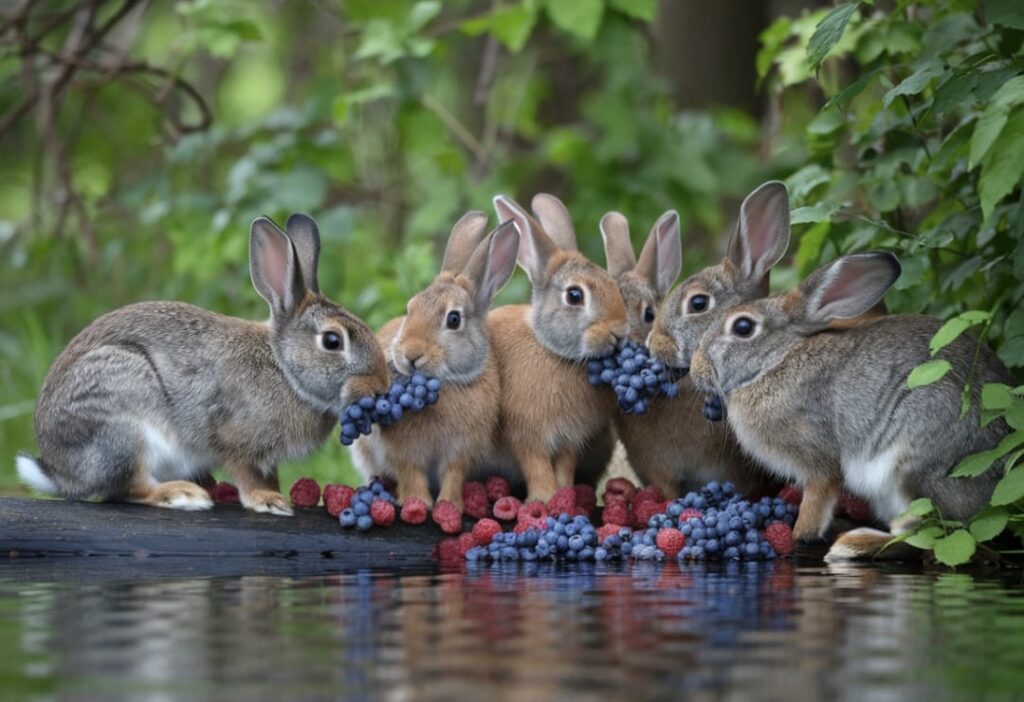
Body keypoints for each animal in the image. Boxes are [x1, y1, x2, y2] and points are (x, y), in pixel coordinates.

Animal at [16, 214, 391, 517]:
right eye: (333, 341)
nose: (380, 387)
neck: (285, 370)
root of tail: (59, 471)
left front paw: (274, 493)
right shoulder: (235, 439)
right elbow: (245, 473)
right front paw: (268, 501)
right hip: (122, 421)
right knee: (129, 488)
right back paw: (183, 494)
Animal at [350, 215, 520, 511]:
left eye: (453, 319)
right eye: (410, 309)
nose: (411, 353)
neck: (449, 386)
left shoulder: (459, 452)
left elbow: (452, 475)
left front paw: (450, 506)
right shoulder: (405, 452)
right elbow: (411, 474)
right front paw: (417, 504)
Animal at [485, 192, 626, 501]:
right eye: (574, 295)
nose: (619, 332)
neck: (554, 352)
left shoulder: (569, 440)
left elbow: (564, 467)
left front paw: (564, 495)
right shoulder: (526, 434)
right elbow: (536, 466)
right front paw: (544, 498)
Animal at [684, 252, 1011, 560]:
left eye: (743, 327)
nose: (695, 368)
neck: (775, 361)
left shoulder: (817, 460)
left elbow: (817, 499)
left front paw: (800, 534)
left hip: (914, 467)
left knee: (923, 534)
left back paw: (852, 545)